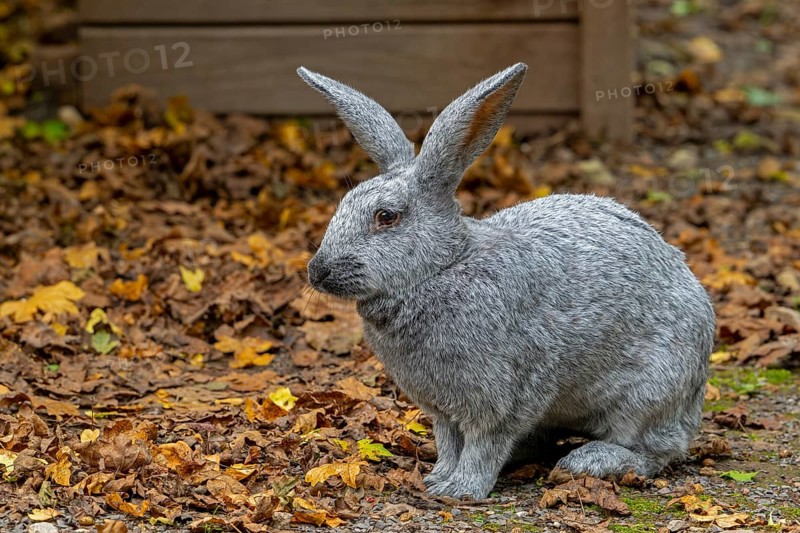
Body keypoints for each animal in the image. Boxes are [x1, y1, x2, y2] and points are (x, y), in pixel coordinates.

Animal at [297, 63, 715, 499]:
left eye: (386, 217)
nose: (318, 271)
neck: (443, 267)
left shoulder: (504, 398)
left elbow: (484, 445)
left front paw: (461, 489)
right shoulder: (443, 410)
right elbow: (449, 441)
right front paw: (438, 479)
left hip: (649, 392)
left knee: (656, 451)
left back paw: (591, 461)